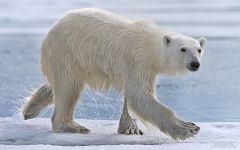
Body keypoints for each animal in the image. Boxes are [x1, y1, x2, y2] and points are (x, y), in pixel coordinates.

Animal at [23, 7, 206, 139]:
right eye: (183, 49)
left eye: (198, 49)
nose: (195, 64)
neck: (150, 44)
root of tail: (51, 31)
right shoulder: (137, 60)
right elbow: (139, 97)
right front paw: (187, 128)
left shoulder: (146, 69)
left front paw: (129, 128)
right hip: (67, 51)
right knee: (68, 87)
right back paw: (73, 126)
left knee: (60, 85)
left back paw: (31, 107)